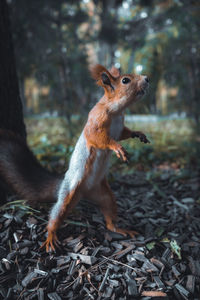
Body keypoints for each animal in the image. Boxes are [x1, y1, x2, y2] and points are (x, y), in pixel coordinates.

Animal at [41, 64, 148, 252]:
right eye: (125, 80)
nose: (147, 78)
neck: (117, 111)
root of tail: (85, 193)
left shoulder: (120, 128)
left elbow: (124, 133)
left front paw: (138, 133)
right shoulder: (96, 120)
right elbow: (98, 138)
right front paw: (117, 148)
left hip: (106, 196)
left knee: (110, 221)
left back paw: (120, 229)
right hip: (68, 193)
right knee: (56, 214)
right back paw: (51, 236)